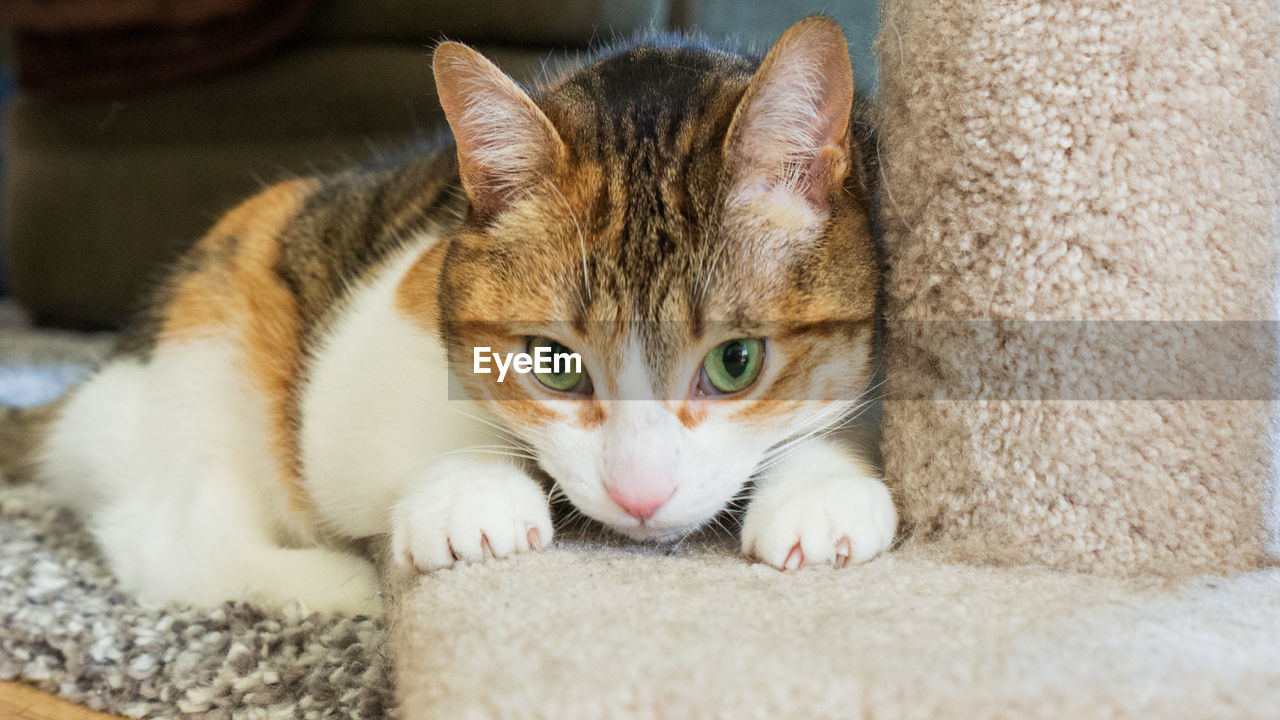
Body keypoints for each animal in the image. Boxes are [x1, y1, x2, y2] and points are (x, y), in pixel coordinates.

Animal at [0, 16, 896, 609]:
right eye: (554, 364)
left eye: (735, 362)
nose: (640, 495)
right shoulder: (378, 326)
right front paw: (474, 492)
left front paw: (823, 488)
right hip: (215, 337)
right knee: (169, 542)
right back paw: (336, 585)